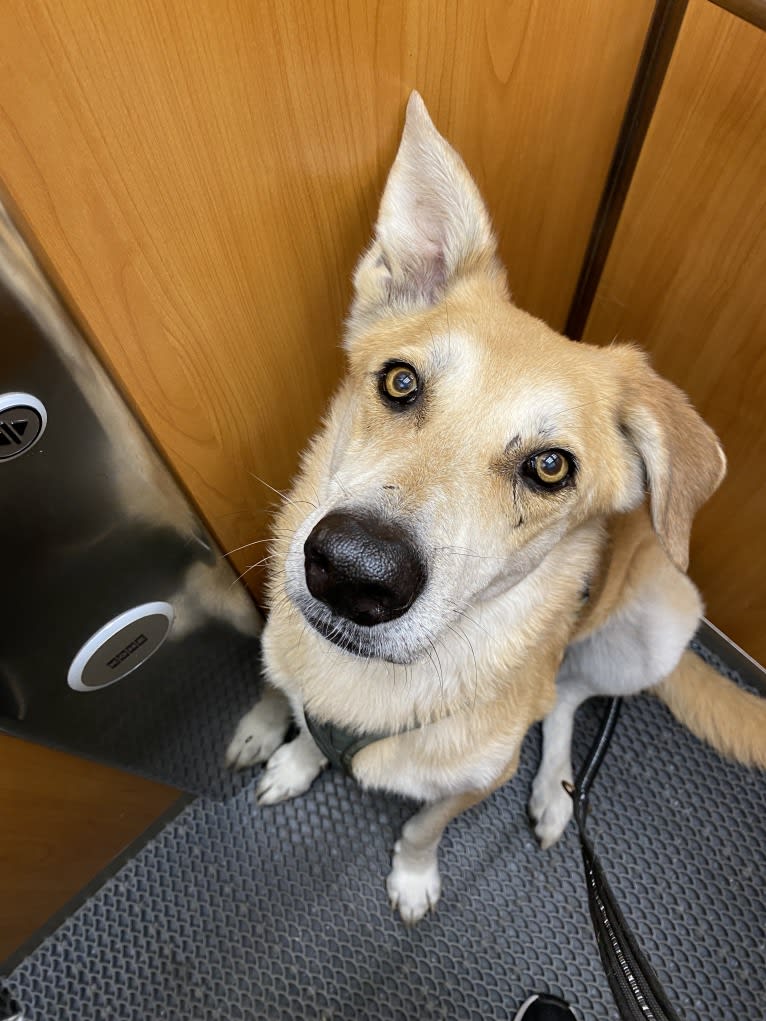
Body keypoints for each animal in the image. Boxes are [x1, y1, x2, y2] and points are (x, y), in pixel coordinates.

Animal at [226, 91, 766, 927]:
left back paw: (554, 795)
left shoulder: (475, 779)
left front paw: (414, 877)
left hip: (658, 627)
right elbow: (306, 724)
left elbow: (423, 824)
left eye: (550, 466)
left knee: (565, 697)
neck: (370, 689)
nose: (352, 571)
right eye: (400, 382)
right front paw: (294, 758)